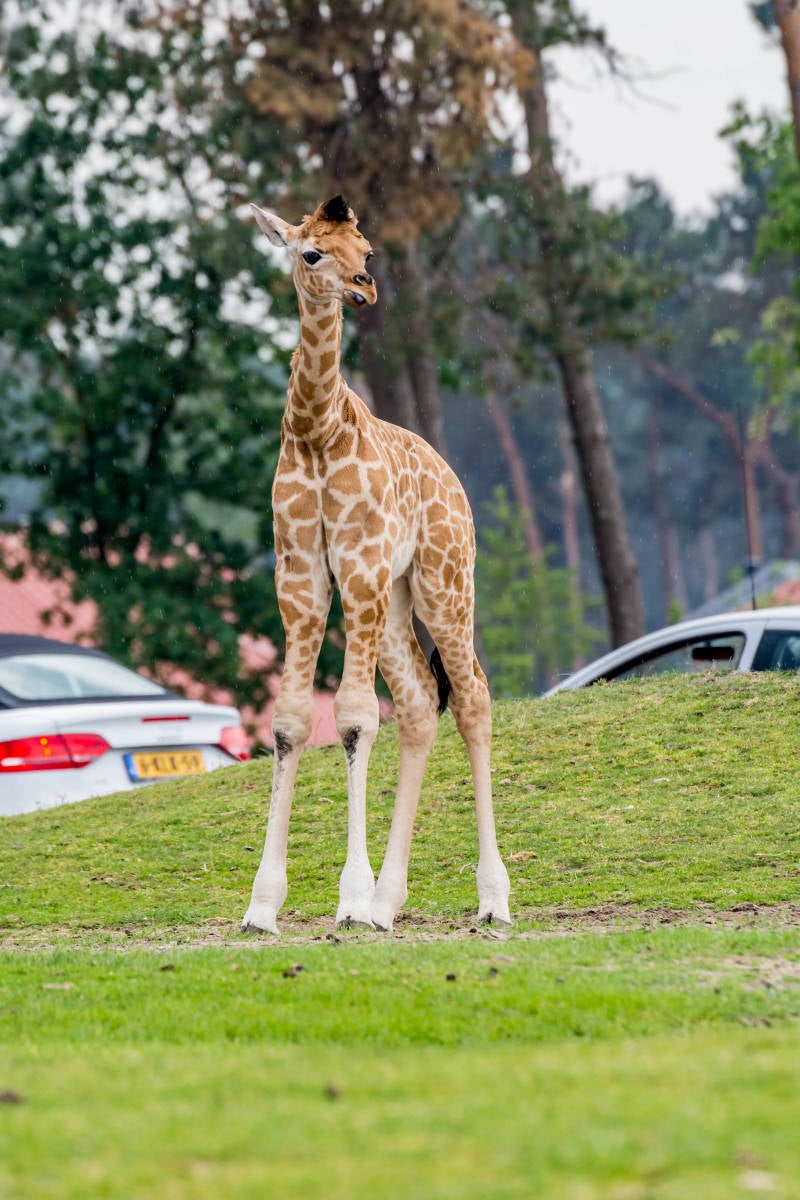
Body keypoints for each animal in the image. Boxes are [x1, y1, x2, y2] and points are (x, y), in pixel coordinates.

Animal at [242, 194, 511, 934]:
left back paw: (493, 897)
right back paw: (393, 901)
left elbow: (356, 716)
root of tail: (453, 480)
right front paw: (262, 905)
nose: (364, 288)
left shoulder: (355, 565)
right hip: (391, 601)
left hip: (443, 580)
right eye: (311, 253)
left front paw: (351, 898)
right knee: (420, 704)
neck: (315, 430)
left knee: (471, 695)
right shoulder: (302, 576)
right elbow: (291, 720)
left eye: (365, 249)